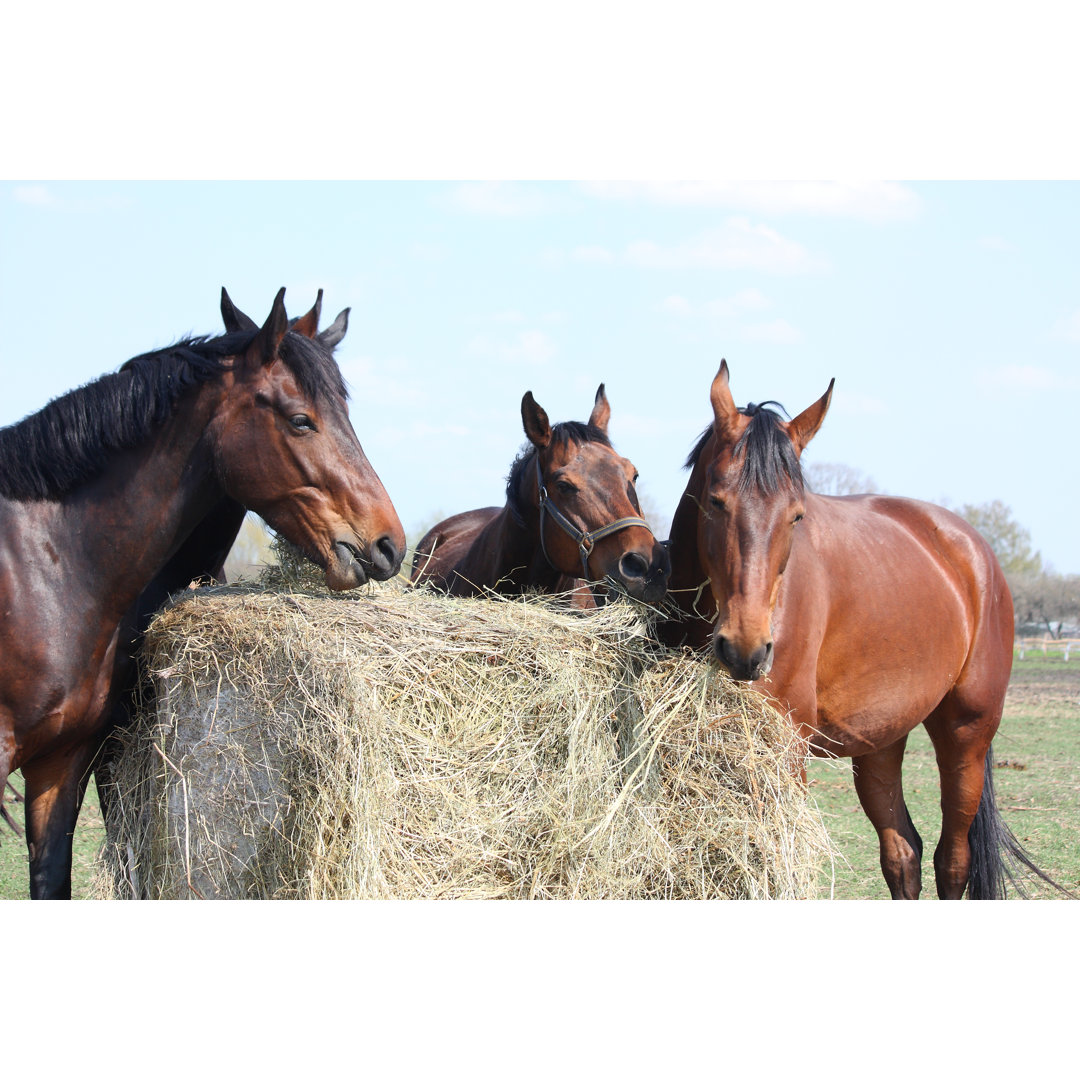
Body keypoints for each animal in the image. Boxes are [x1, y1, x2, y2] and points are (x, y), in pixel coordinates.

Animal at [656, 358, 1062, 898]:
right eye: (716, 501)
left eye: (796, 516)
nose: (746, 649)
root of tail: (973, 550)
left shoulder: (787, 750)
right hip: (881, 741)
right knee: (903, 855)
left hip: (966, 735)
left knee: (953, 860)